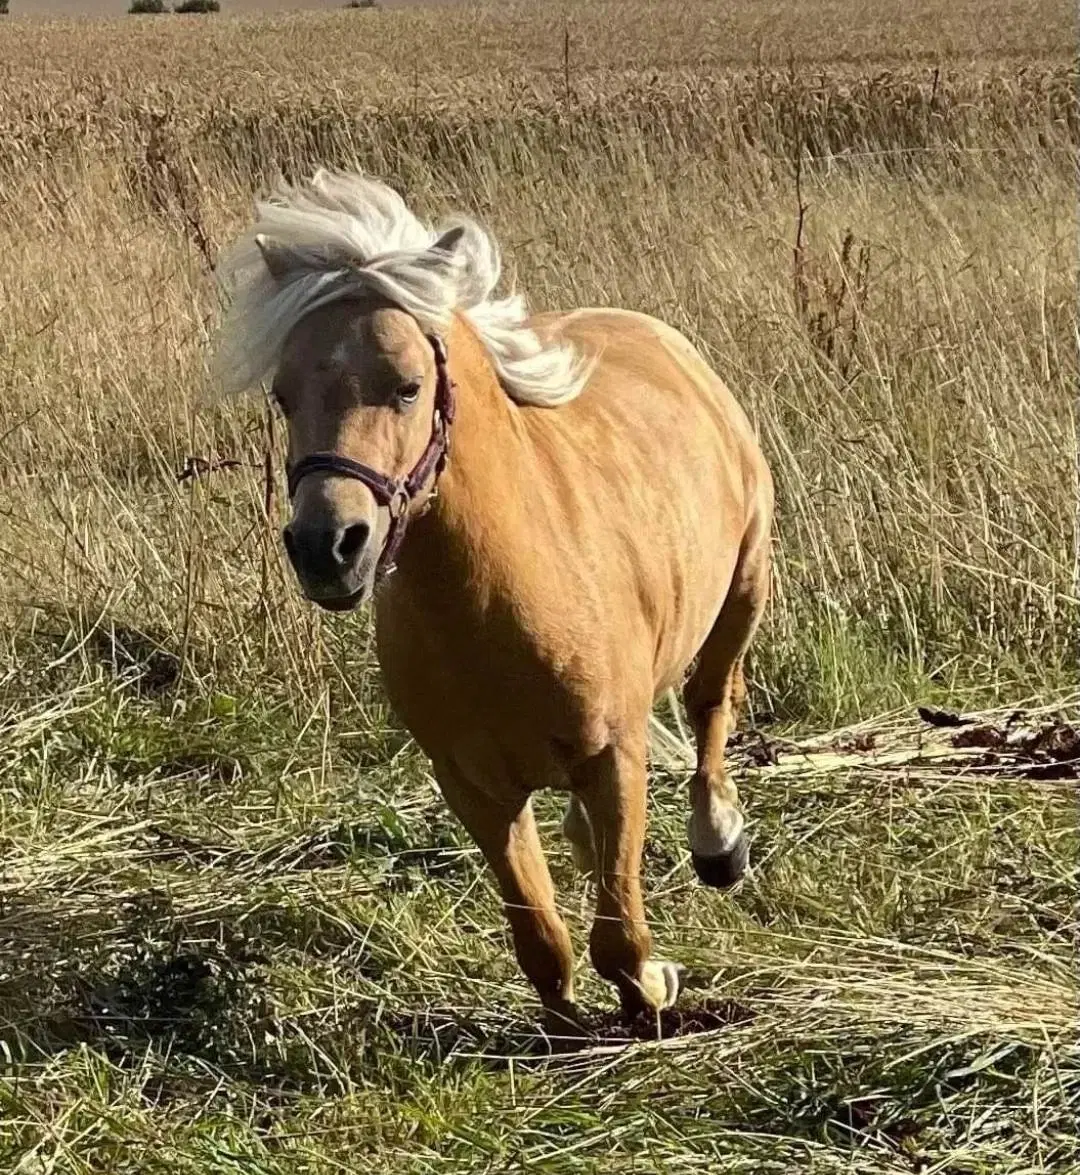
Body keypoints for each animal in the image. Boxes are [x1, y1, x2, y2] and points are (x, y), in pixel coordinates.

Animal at [215, 171, 775, 1038]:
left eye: (407, 386)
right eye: (283, 395)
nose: (327, 546)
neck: (494, 602)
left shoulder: (612, 757)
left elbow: (618, 933)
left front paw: (652, 992)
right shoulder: (472, 785)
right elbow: (542, 937)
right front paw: (567, 1026)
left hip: (743, 586)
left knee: (713, 701)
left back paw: (719, 842)